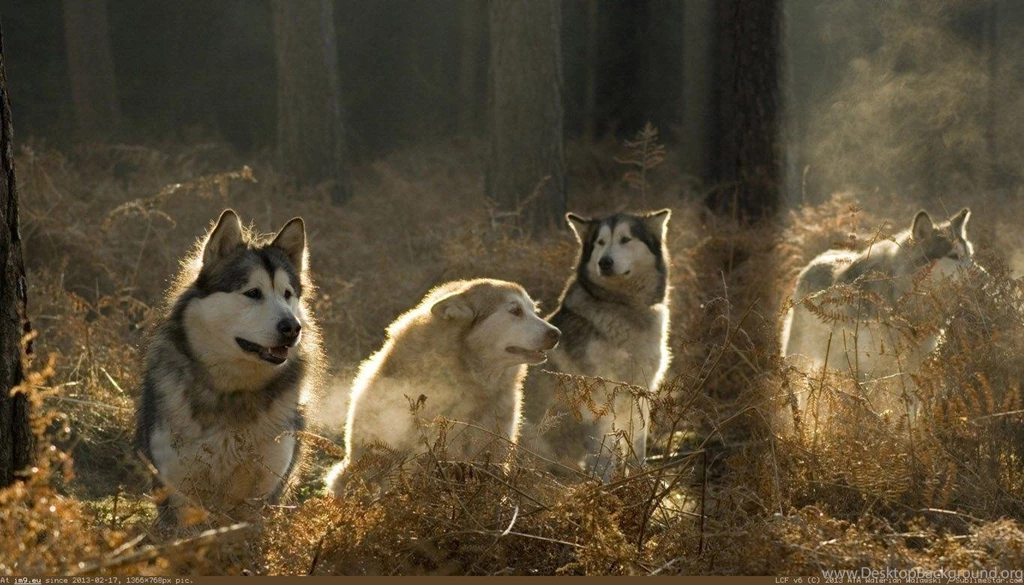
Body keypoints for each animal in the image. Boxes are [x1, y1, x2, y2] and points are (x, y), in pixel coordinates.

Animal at [135, 209, 324, 524]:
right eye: (253, 293)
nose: (292, 328)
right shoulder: (180, 493)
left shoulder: (263, 495)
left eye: (287, 294)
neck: (232, 392)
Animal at [522, 209, 672, 480]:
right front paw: (605, 485)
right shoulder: (598, 396)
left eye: (625, 239)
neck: (622, 307)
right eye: (600, 242)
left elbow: (638, 447)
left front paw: (639, 481)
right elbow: (603, 455)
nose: (605, 262)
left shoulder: (640, 392)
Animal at [781, 208, 978, 411]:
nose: (983, 274)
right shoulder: (870, 372)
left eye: (969, 256)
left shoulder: (912, 372)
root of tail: (816, 260)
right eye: (954, 256)